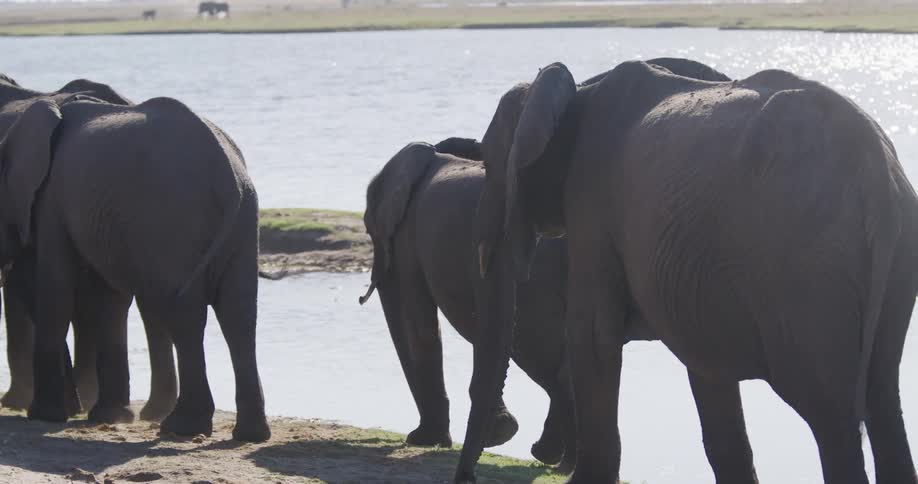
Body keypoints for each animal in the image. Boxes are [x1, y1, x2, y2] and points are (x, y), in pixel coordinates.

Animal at [360, 137, 576, 469]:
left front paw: (425, 439)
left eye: (368, 228)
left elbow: (419, 325)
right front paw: (498, 433)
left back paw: (547, 454)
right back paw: (549, 455)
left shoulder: (409, 239)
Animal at [457, 58, 918, 484]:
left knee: (829, 413)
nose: (469, 477)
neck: (577, 89)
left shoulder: (591, 201)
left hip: (808, 268)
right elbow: (706, 363)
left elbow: (592, 335)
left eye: (491, 166)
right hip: (892, 260)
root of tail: (879, 177)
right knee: (881, 399)